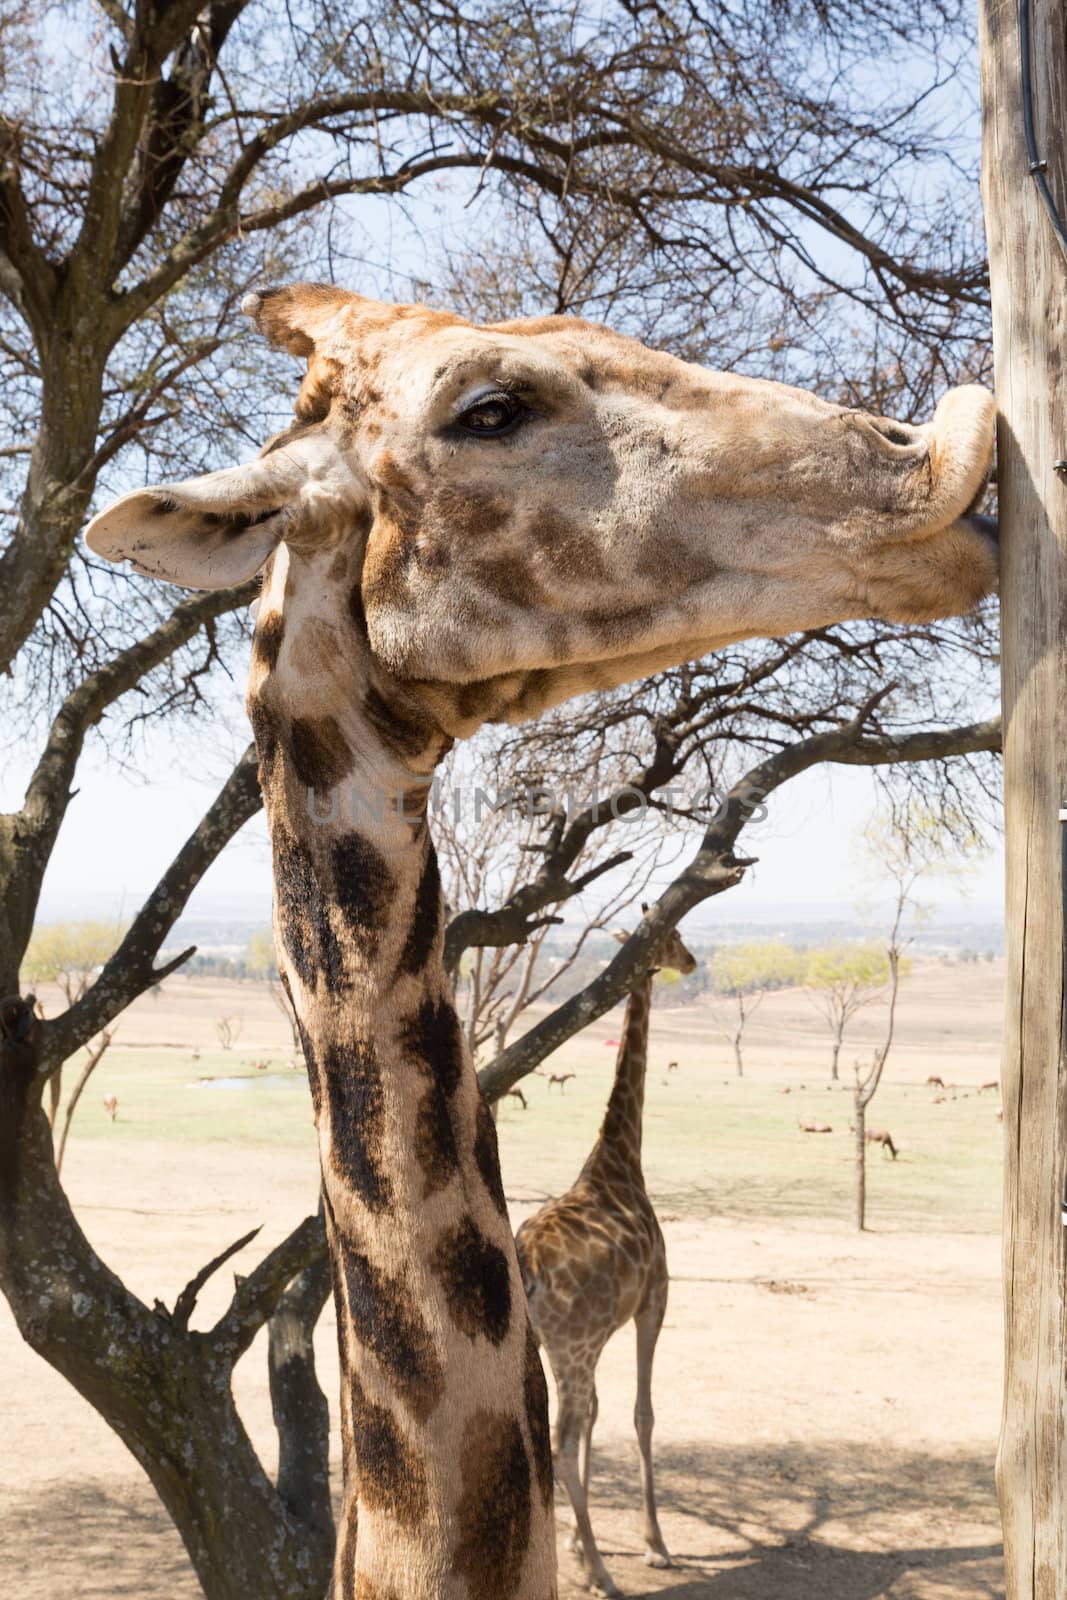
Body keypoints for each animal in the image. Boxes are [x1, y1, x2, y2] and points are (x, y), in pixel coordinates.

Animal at [518, 921, 700, 1593]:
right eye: (676, 936)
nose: (692, 962)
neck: (620, 1159)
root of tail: (526, 1264)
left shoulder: (596, 1337)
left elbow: (599, 1415)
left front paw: (577, 1537)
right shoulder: (655, 1300)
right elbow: (643, 1413)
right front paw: (653, 1543)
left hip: (552, 1346)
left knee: (556, 1431)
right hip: (573, 1343)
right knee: (557, 1440)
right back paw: (600, 1573)